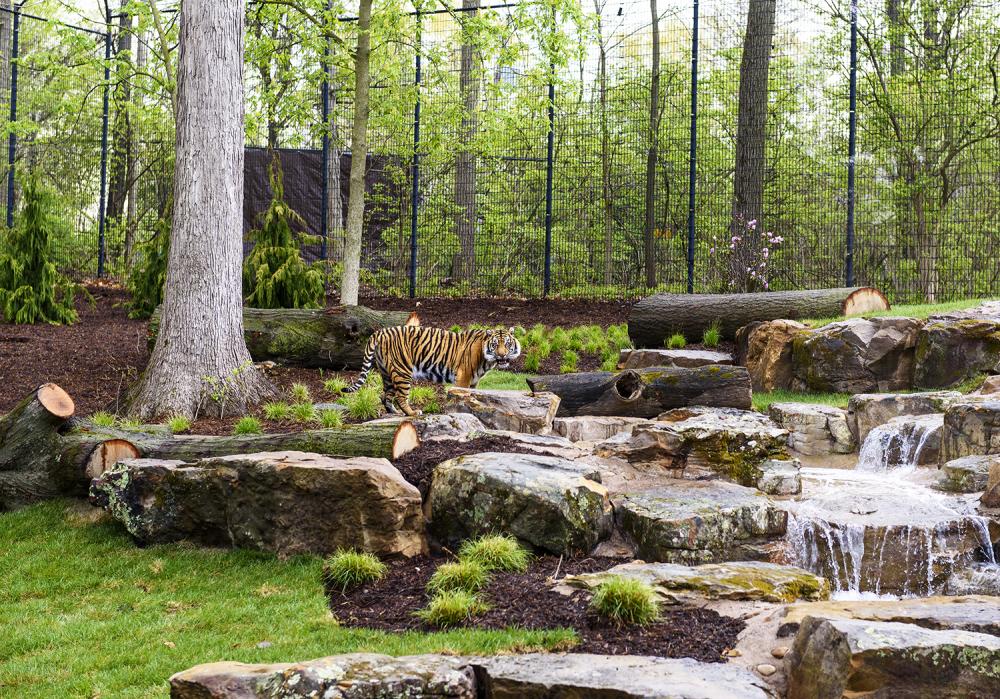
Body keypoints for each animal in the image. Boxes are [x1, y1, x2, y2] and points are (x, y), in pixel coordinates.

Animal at [342, 324, 520, 416]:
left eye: (507, 344)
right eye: (495, 345)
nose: (502, 355)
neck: (486, 360)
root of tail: (380, 332)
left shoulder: (474, 381)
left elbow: (472, 395)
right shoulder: (464, 377)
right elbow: (461, 395)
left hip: (386, 372)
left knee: (385, 395)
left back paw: (394, 412)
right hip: (403, 370)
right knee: (400, 396)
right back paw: (412, 413)